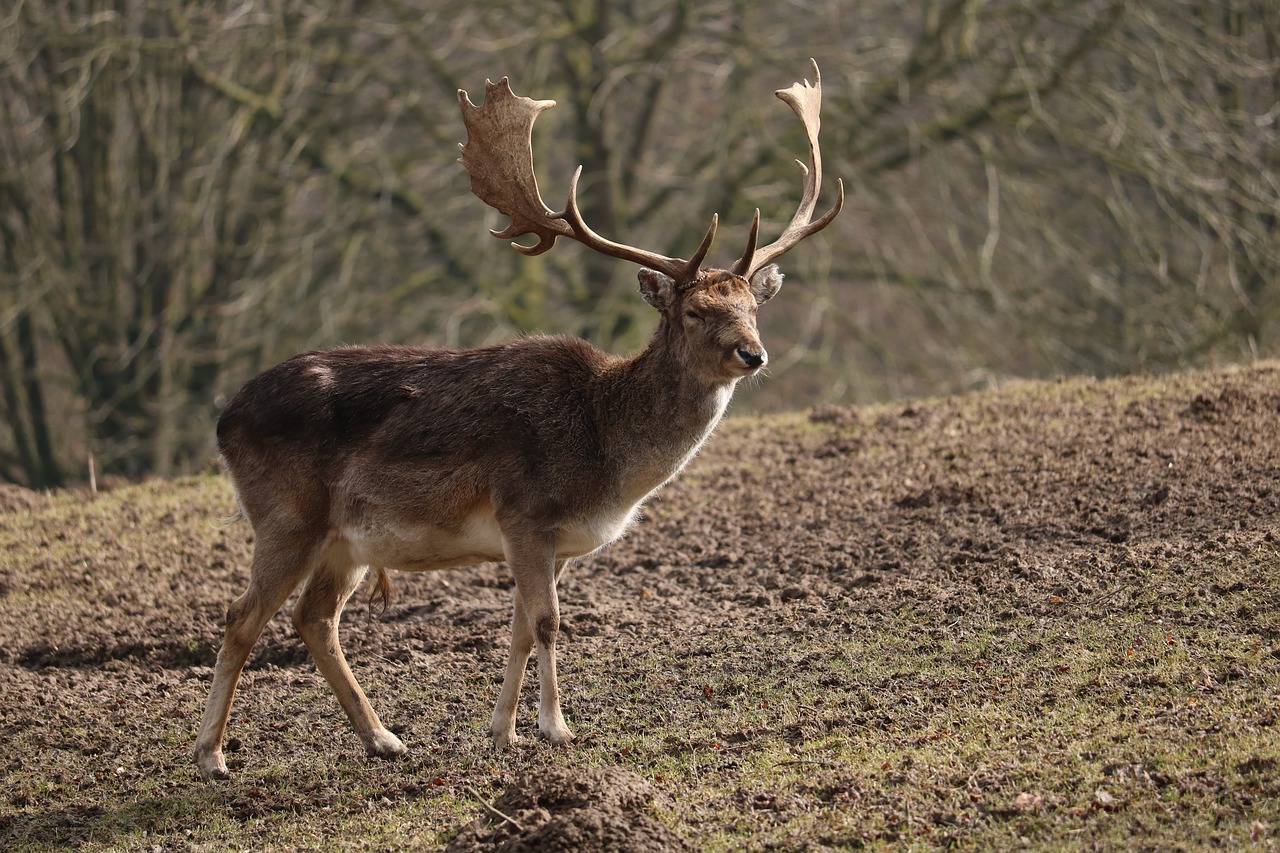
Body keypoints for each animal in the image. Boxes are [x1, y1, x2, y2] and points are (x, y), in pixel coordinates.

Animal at [192, 59, 839, 778]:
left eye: (754, 307)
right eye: (696, 311)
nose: (753, 354)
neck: (606, 459)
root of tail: (223, 418)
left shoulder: (553, 541)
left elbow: (522, 626)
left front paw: (502, 731)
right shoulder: (525, 513)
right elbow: (549, 621)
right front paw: (557, 727)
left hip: (346, 541)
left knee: (313, 617)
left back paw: (382, 737)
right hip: (286, 515)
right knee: (241, 614)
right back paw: (211, 754)